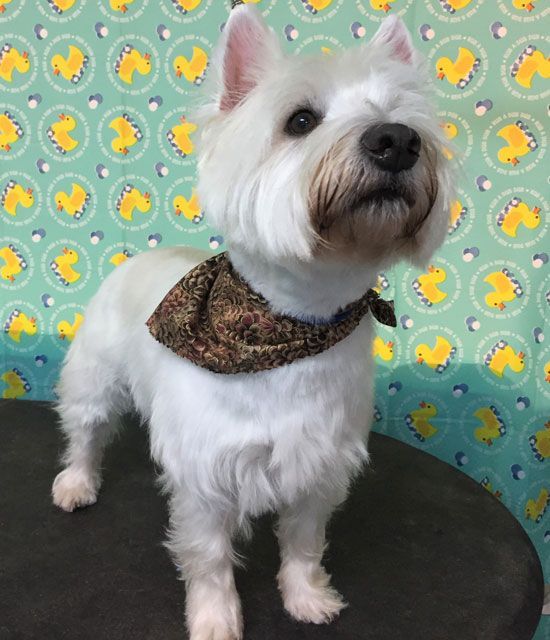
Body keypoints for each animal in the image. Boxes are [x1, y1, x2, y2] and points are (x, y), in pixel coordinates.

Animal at [51, 6, 452, 640]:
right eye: (301, 120)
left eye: (403, 114)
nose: (397, 141)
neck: (290, 324)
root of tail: (140, 257)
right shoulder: (206, 472)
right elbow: (210, 556)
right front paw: (215, 618)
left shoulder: (318, 465)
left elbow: (305, 543)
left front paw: (307, 598)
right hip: (94, 378)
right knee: (86, 433)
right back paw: (76, 484)